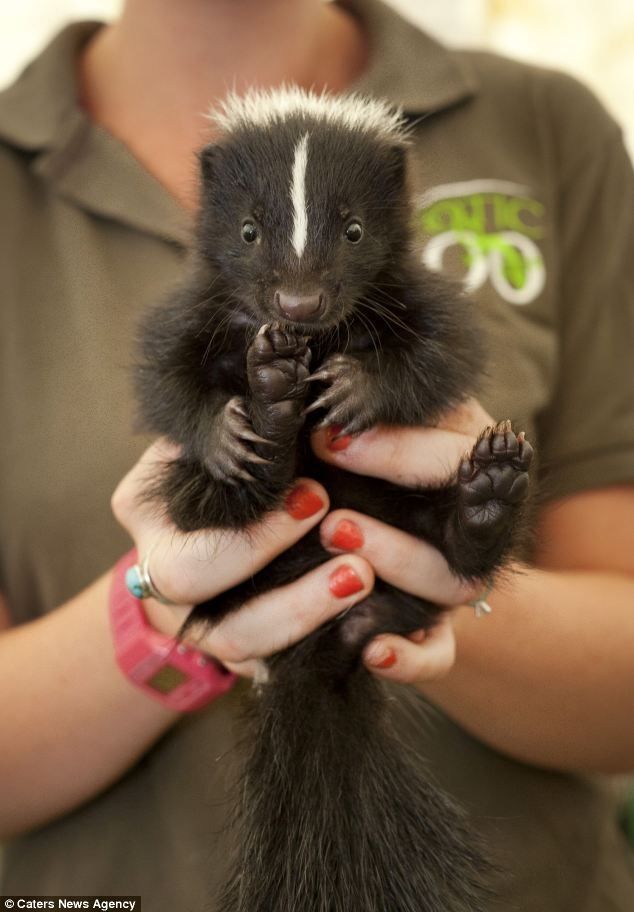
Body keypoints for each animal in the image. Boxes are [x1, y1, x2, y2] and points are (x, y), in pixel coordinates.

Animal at [136, 87, 532, 912]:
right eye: (248, 230)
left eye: (353, 230)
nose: (298, 302)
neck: (314, 339)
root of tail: (324, 646)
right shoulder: (202, 305)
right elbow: (165, 374)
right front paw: (223, 430)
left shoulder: (406, 289)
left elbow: (439, 353)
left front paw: (356, 389)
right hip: (218, 536)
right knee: (208, 503)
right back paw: (268, 423)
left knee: (448, 539)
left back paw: (487, 496)